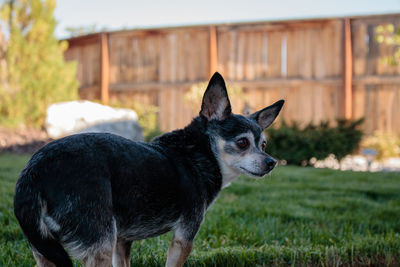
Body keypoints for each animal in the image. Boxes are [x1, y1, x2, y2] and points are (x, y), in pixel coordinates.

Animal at [14, 73, 284, 267]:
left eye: (263, 144)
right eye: (242, 142)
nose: (271, 162)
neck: (200, 152)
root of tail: (33, 172)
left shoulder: (122, 241)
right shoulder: (184, 238)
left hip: (44, 249)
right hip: (98, 244)